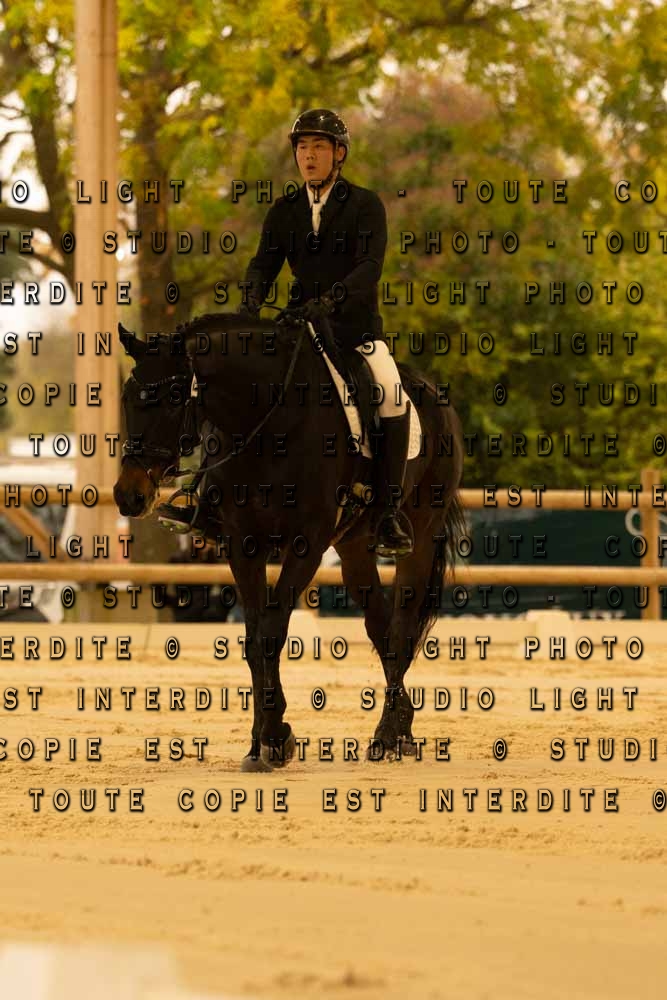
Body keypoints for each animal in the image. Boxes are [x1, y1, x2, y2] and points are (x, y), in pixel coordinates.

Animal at [113, 312, 465, 771]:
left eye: (173, 399)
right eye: (127, 398)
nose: (128, 496)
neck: (269, 420)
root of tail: (435, 396)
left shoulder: (307, 545)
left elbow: (272, 632)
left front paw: (274, 738)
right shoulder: (243, 545)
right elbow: (254, 639)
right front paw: (264, 738)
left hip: (419, 539)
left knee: (402, 628)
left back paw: (388, 736)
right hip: (353, 547)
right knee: (380, 626)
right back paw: (399, 727)